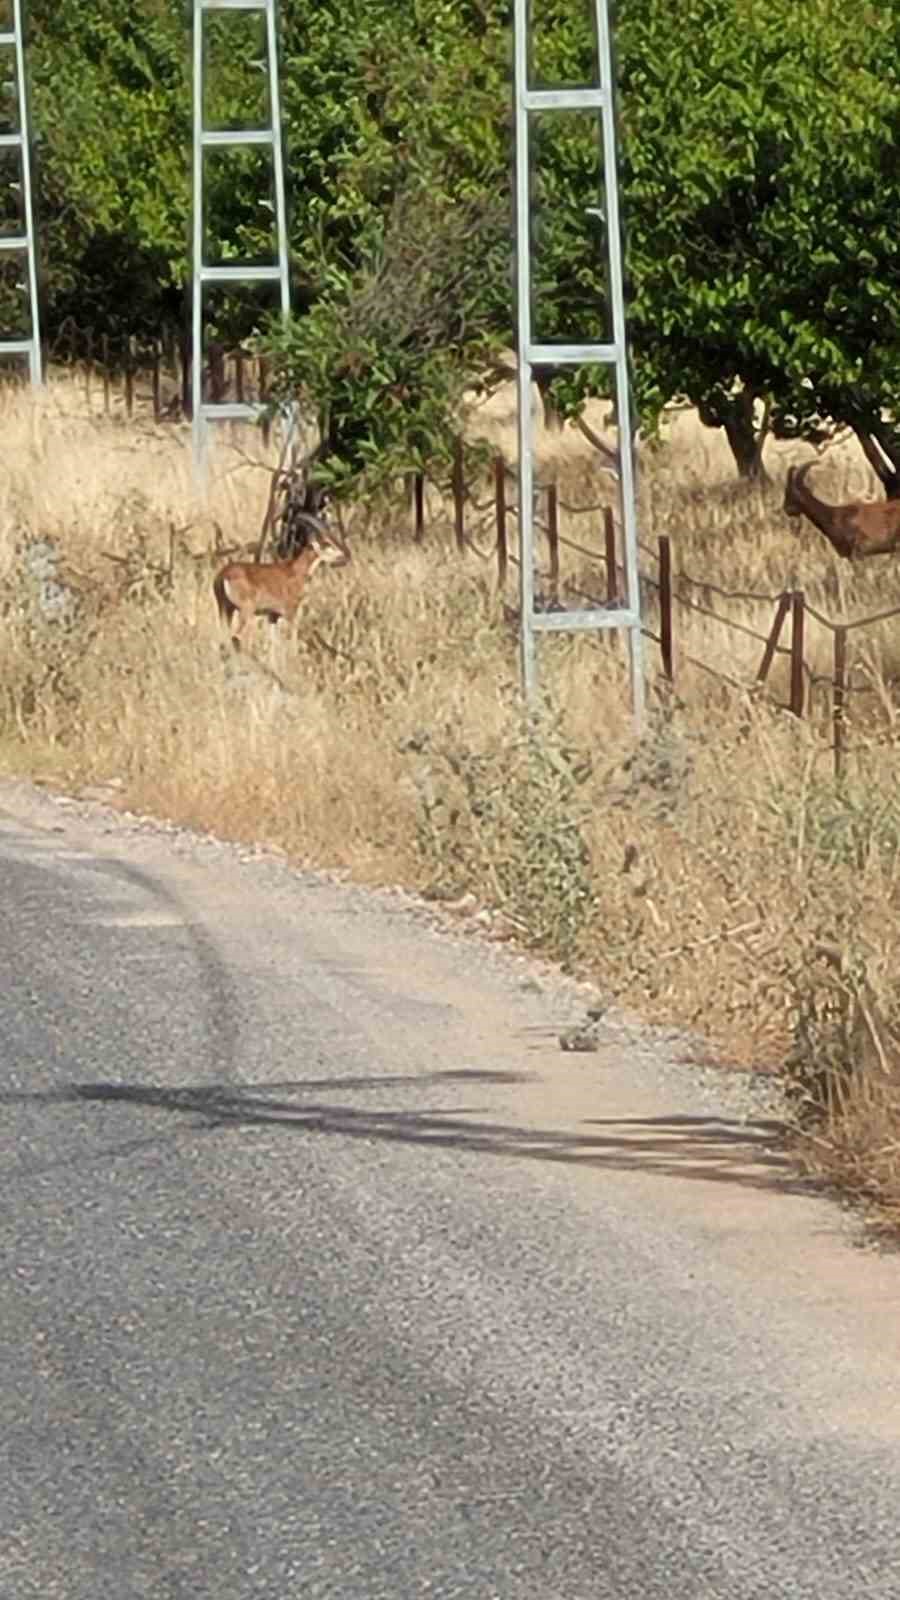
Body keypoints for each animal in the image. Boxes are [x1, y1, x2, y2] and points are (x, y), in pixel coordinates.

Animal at [211, 521, 349, 652]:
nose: (344, 555)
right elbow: (292, 639)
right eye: (327, 543)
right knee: (236, 637)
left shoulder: (272, 616)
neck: (295, 570)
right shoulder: (290, 613)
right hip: (245, 611)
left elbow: (273, 643)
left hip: (225, 609)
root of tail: (224, 575)